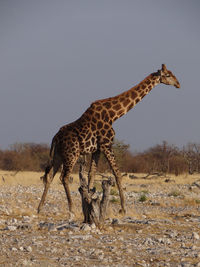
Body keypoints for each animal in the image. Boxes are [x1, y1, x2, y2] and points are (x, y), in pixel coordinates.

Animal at [37, 64, 180, 216]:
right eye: (168, 75)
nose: (178, 84)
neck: (113, 115)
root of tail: (55, 138)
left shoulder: (97, 149)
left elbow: (91, 174)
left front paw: (89, 201)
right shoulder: (107, 144)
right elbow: (117, 173)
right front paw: (123, 208)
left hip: (58, 155)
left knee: (50, 176)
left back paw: (40, 208)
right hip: (72, 154)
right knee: (64, 177)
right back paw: (71, 208)